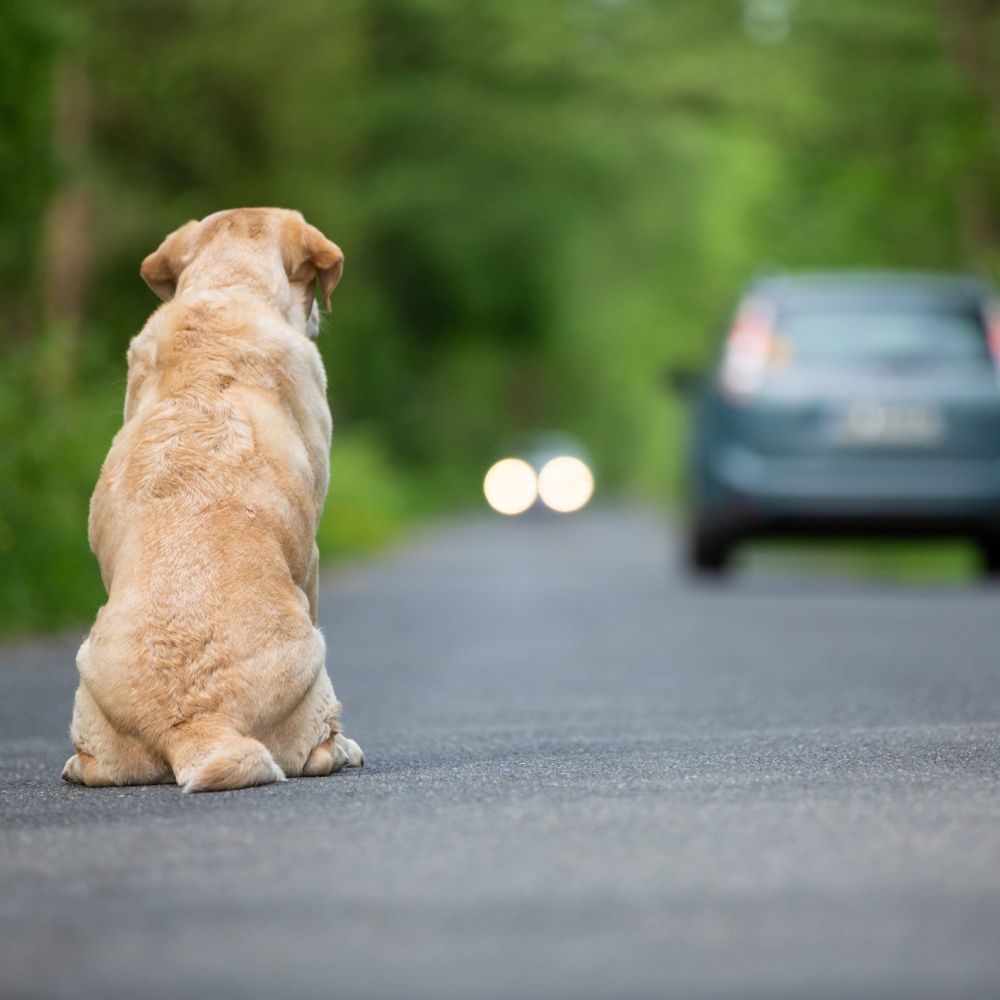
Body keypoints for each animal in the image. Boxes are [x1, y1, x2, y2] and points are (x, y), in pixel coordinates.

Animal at [61, 207, 364, 792]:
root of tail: (198, 723)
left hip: (88, 678)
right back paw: (344, 749)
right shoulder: (312, 555)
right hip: (315, 664)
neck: (227, 289)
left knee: (93, 766)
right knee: (316, 749)